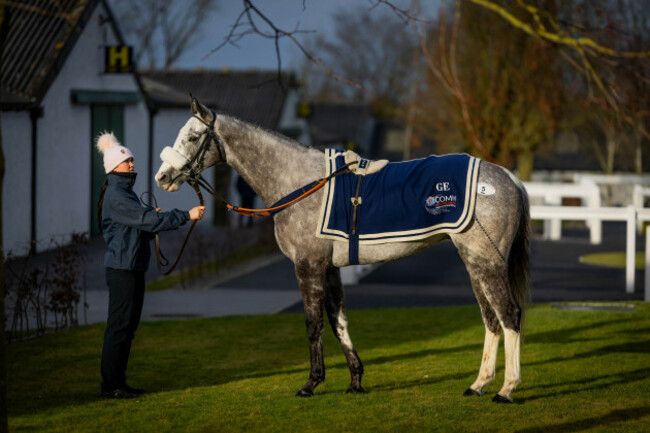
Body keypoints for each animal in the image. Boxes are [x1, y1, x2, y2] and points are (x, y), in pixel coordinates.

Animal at [155, 96, 530, 404]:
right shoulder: (331, 268)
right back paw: (478, 385)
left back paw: (506, 389)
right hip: (473, 262)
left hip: (486, 261)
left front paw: (310, 384)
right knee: (491, 318)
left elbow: (314, 324)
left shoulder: (308, 265)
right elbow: (339, 323)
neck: (299, 183)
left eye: (192, 136)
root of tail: (508, 178)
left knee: (509, 314)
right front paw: (355, 382)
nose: (163, 177)